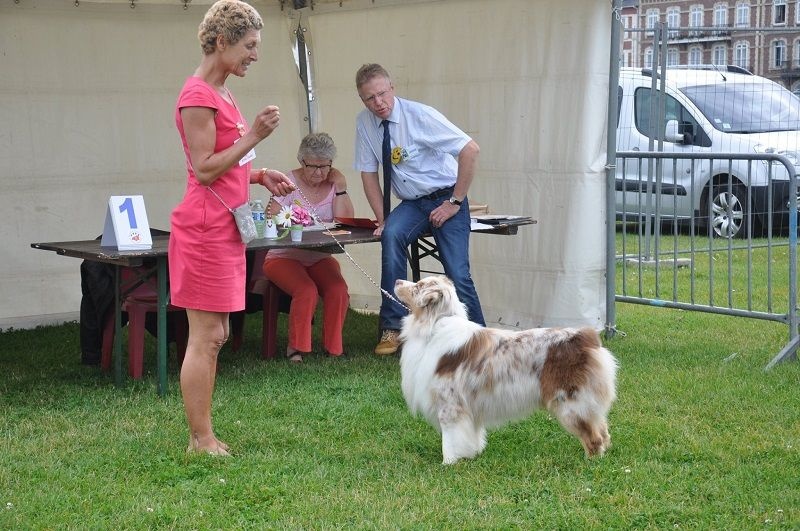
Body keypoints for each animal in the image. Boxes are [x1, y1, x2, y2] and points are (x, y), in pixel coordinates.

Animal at [394, 276, 618, 465]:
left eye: (418, 286)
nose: (396, 281)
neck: (436, 322)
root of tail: (585, 337)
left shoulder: (449, 404)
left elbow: (449, 439)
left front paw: (448, 464)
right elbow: (471, 436)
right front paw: (472, 453)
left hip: (571, 403)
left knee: (594, 436)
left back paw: (590, 462)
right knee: (603, 430)